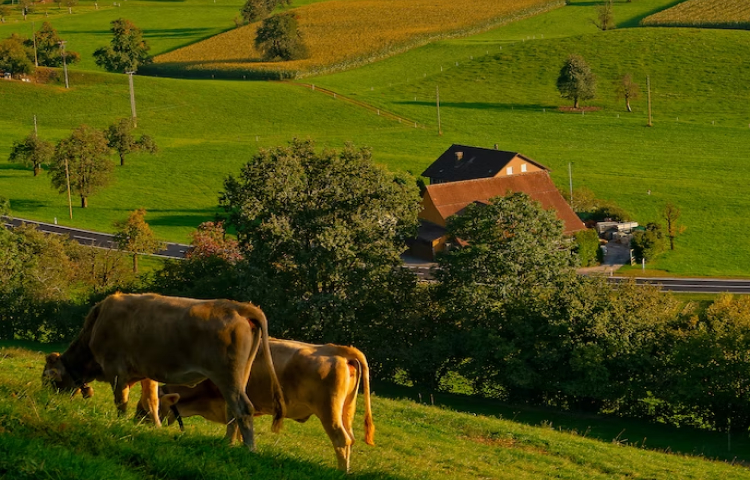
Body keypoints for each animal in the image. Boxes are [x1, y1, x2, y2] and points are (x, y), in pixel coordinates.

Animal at [42, 292, 285, 451]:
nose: (49, 404)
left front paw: (119, 423)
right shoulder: (146, 373)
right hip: (239, 375)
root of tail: (237, 306)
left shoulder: (116, 370)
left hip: (227, 375)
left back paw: (248, 449)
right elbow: (151, 401)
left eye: (47, 379)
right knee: (232, 410)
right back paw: (228, 443)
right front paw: (155, 427)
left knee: (242, 408)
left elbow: (121, 401)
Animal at [137, 338, 374, 472]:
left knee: (341, 439)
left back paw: (340, 472)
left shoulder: (229, 398)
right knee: (350, 439)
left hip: (328, 410)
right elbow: (243, 427)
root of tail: (336, 349)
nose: (135, 422)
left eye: (144, 406)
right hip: (346, 411)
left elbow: (233, 422)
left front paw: (227, 444)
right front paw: (243, 448)